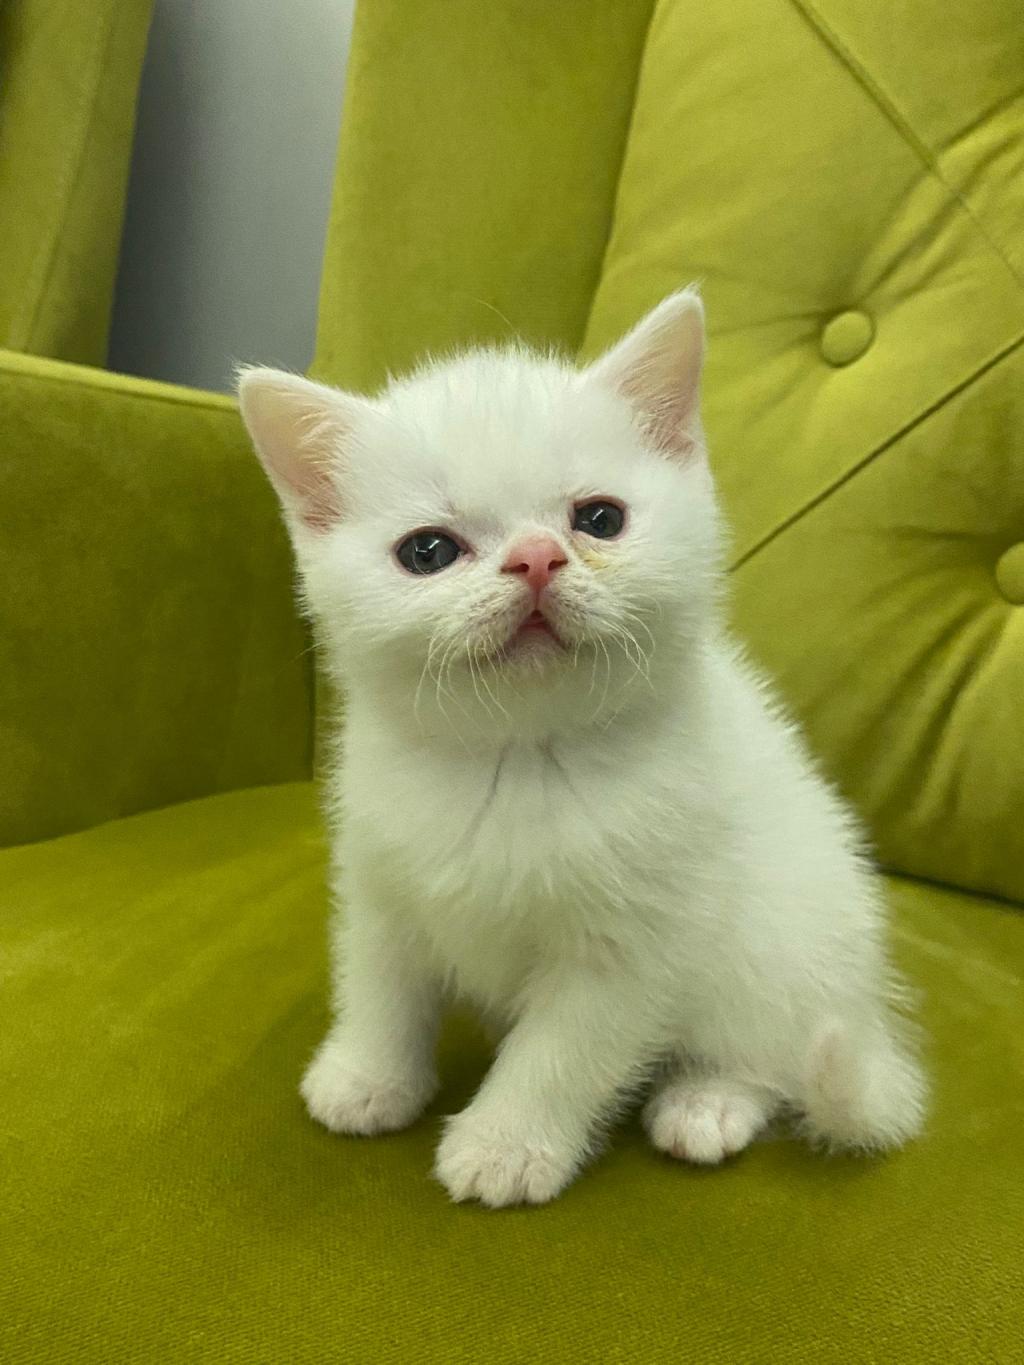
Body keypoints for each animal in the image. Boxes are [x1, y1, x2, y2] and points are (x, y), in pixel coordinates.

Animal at [238, 288, 926, 1208]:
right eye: (428, 550)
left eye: (599, 518)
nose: (536, 557)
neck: (518, 758)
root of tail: (866, 1004)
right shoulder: (380, 876)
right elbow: (380, 979)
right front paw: (366, 1075)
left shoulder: (637, 940)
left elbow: (560, 1051)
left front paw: (505, 1145)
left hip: (784, 938)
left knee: (775, 1052)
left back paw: (708, 1101)